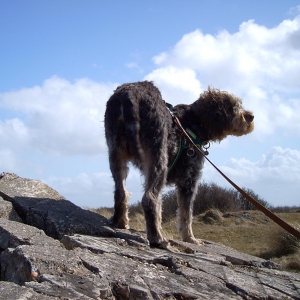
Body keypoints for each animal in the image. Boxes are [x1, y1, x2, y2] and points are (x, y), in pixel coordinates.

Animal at [104, 81, 254, 247]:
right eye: (233, 106)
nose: (251, 116)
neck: (194, 123)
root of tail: (130, 94)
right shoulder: (189, 180)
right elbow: (186, 214)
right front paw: (190, 238)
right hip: (158, 160)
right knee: (149, 199)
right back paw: (157, 238)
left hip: (116, 155)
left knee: (121, 192)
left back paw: (119, 222)